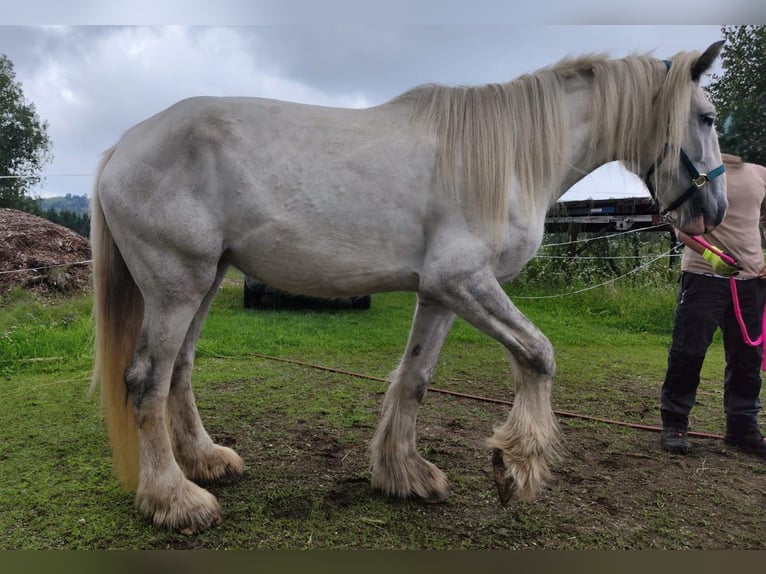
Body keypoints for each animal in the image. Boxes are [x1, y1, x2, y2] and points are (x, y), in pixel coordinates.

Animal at [90, 41, 726, 532]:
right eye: (708, 117)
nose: (716, 212)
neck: (508, 156)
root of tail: (124, 144)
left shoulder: (441, 294)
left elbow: (416, 379)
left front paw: (404, 474)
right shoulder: (464, 281)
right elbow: (539, 355)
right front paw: (516, 467)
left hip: (205, 281)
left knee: (180, 371)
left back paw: (205, 462)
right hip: (177, 286)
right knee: (147, 381)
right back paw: (175, 500)